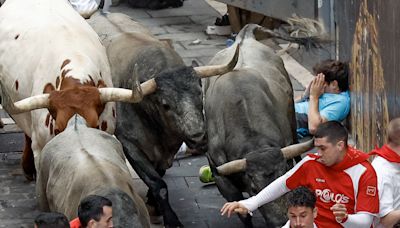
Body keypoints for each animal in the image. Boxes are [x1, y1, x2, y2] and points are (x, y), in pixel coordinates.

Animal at [87, 12, 238, 228]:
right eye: (166, 105)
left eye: (199, 93)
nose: (199, 137)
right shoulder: (130, 144)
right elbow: (158, 183)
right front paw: (170, 218)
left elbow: (160, 174)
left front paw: (153, 202)